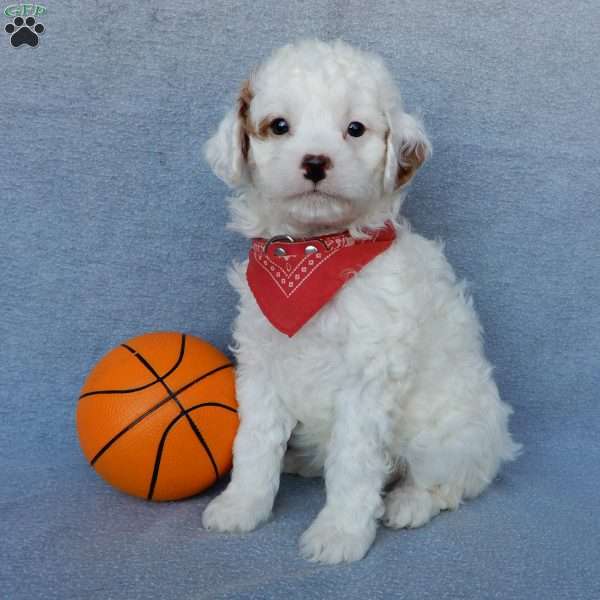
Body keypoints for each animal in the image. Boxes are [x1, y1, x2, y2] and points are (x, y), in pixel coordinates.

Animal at [202, 39, 520, 564]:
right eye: (279, 126)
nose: (315, 162)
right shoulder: (263, 363)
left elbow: (352, 464)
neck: (311, 251)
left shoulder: (367, 378)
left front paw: (339, 533)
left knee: (453, 481)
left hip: (445, 432)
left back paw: (409, 502)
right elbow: (254, 442)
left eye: (355, 129)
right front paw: (242, 504)